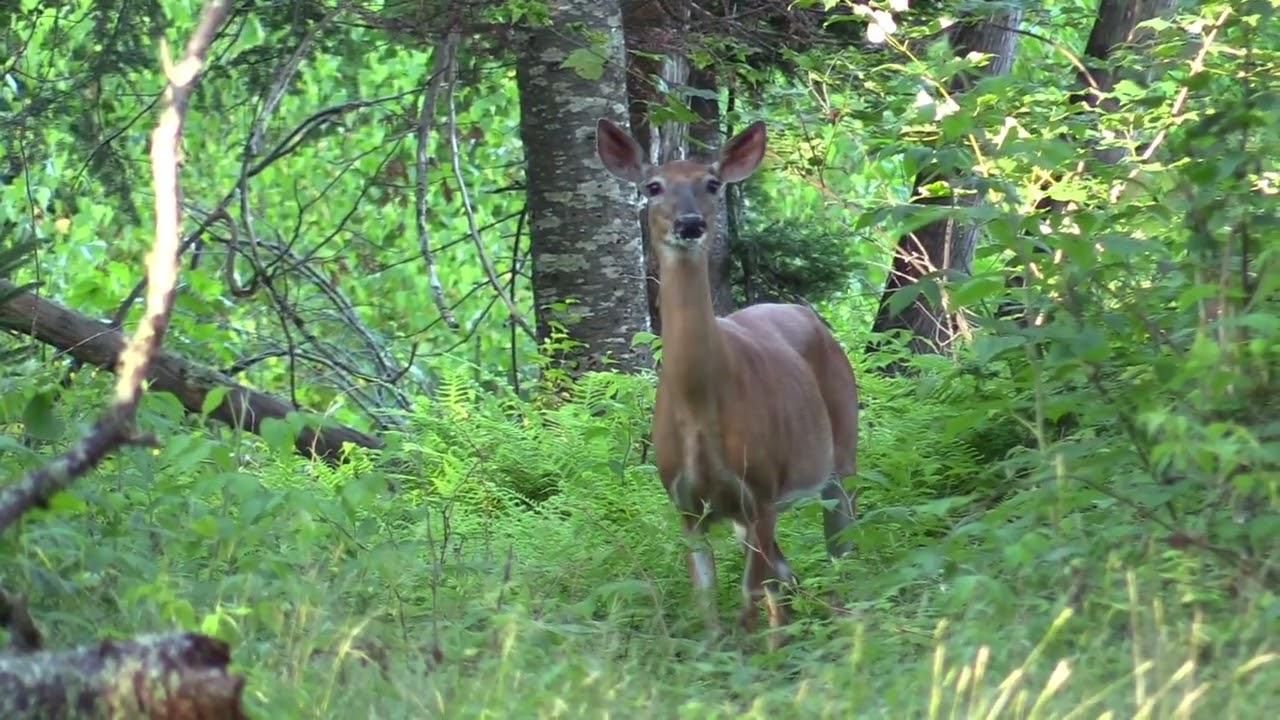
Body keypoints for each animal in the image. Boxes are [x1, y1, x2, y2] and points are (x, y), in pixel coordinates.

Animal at [595, 117, 860, 650]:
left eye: (712, 183)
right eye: (653, 187)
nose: (690, 223)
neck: (699, 408)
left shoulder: (762, 488)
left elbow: (747, 595)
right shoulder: (686, 505)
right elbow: (710, 602)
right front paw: (723, 652)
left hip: (840, 453)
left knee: (837, 550)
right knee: (786, 573)